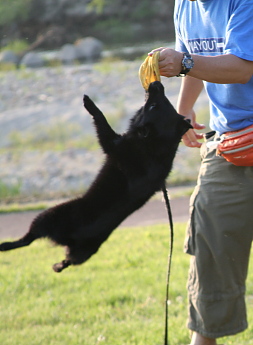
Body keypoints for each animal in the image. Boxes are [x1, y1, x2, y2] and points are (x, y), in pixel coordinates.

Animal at [0, 81, 191, 272]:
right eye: (165, 103)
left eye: (153, 106)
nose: (156, 84)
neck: (154, 145)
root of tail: (72, 238)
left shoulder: (113, 144)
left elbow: (101, 120)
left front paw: (89, 103)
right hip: (83, 252)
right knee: (67, 261)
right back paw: (57, 266)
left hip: (49, 216)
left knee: (28, 239)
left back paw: (5, 245)